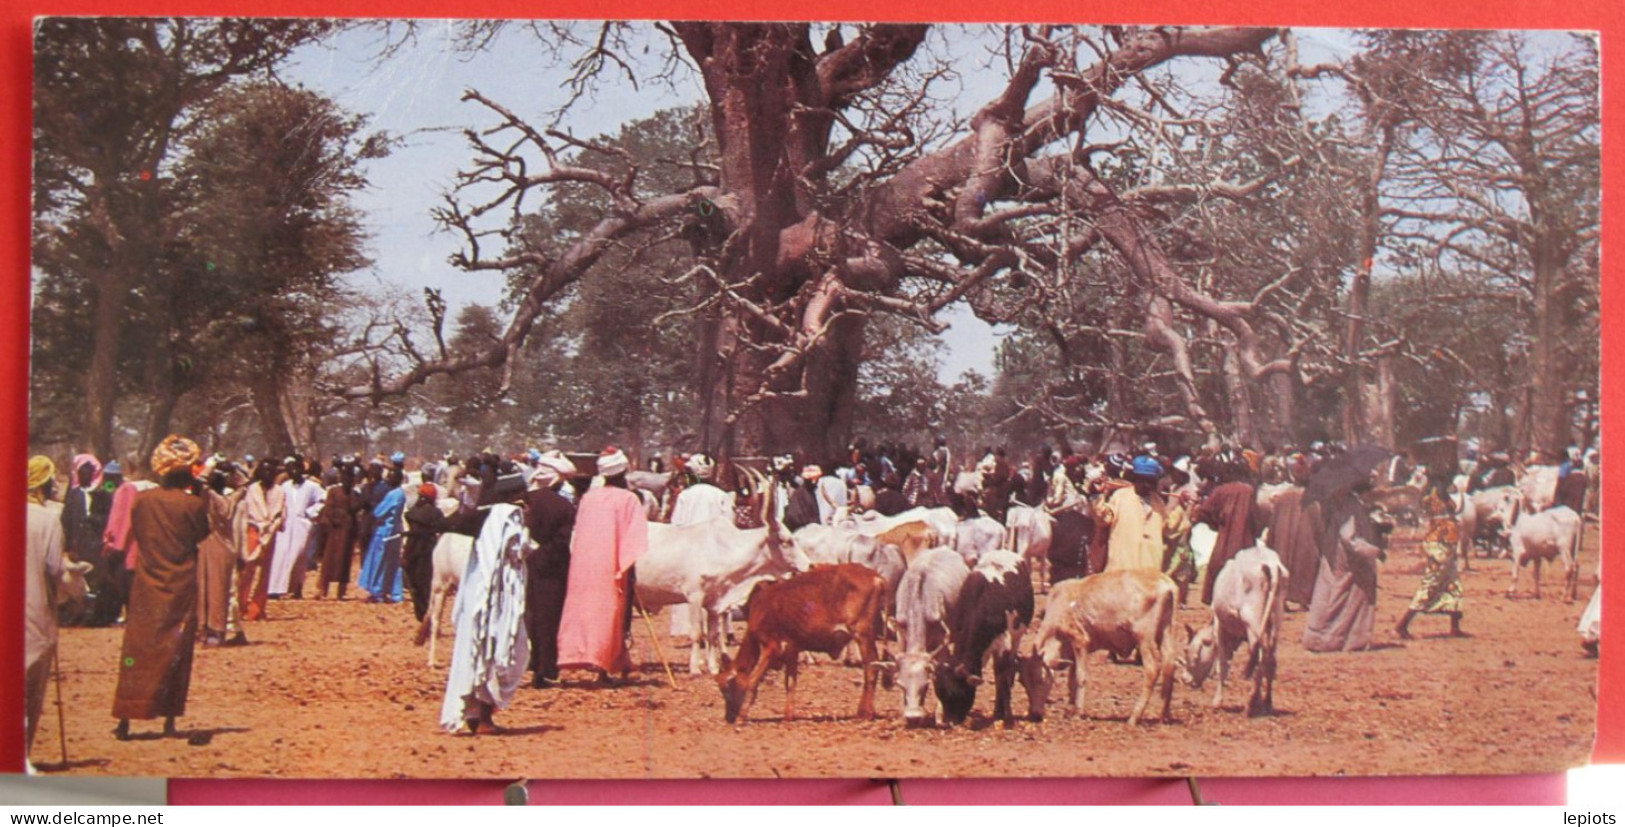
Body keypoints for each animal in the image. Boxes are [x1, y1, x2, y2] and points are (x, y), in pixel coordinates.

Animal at [715, 562, 890, 721]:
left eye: (726, 687)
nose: (729, 717)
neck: (761, 609)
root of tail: (876, 577)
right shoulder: (792, 649)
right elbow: (790, 683)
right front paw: (788, 715)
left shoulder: (772, 647)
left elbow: (752, 681)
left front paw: (742, 717)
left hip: (862, 635)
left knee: (871, 667)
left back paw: (866, 713)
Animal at [884, 549, 968, 727]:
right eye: (901, 686)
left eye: (925, 685)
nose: (913, 717)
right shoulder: (901, 634)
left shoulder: (941, 638)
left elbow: (940, 672)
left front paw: (940, 716)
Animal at [936, 552, 1033, 724]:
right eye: (939, 694)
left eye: (957, 693)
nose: (949, 721)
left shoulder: (1004, 643)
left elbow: (1002, 678)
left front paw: (1006, 716)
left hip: (1017, 635)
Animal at [1027, 568, 1183, 721]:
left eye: (1040, 680)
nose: (1034, 714)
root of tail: (1166, 583)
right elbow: (1071, 678)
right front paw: (1070, 708)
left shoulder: (1080, 641)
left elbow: (1080, 676)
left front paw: (1078, 712)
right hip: (1167, 633)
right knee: (1169, 666)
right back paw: (1164, 715)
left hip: (1144, 638)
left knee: (1152, 670)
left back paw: (1134, 717)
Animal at [1176, 542, 1287, 714]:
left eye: (1187, 650)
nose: (1185, 679)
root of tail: (1271, 564)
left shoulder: (1220, 627)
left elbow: (1222, 663)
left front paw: (1217, 701)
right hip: (1275, 620)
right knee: (1270, 658)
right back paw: (1267, 702)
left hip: (1253, 621)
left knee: (1261, 654)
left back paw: (1252, 701)